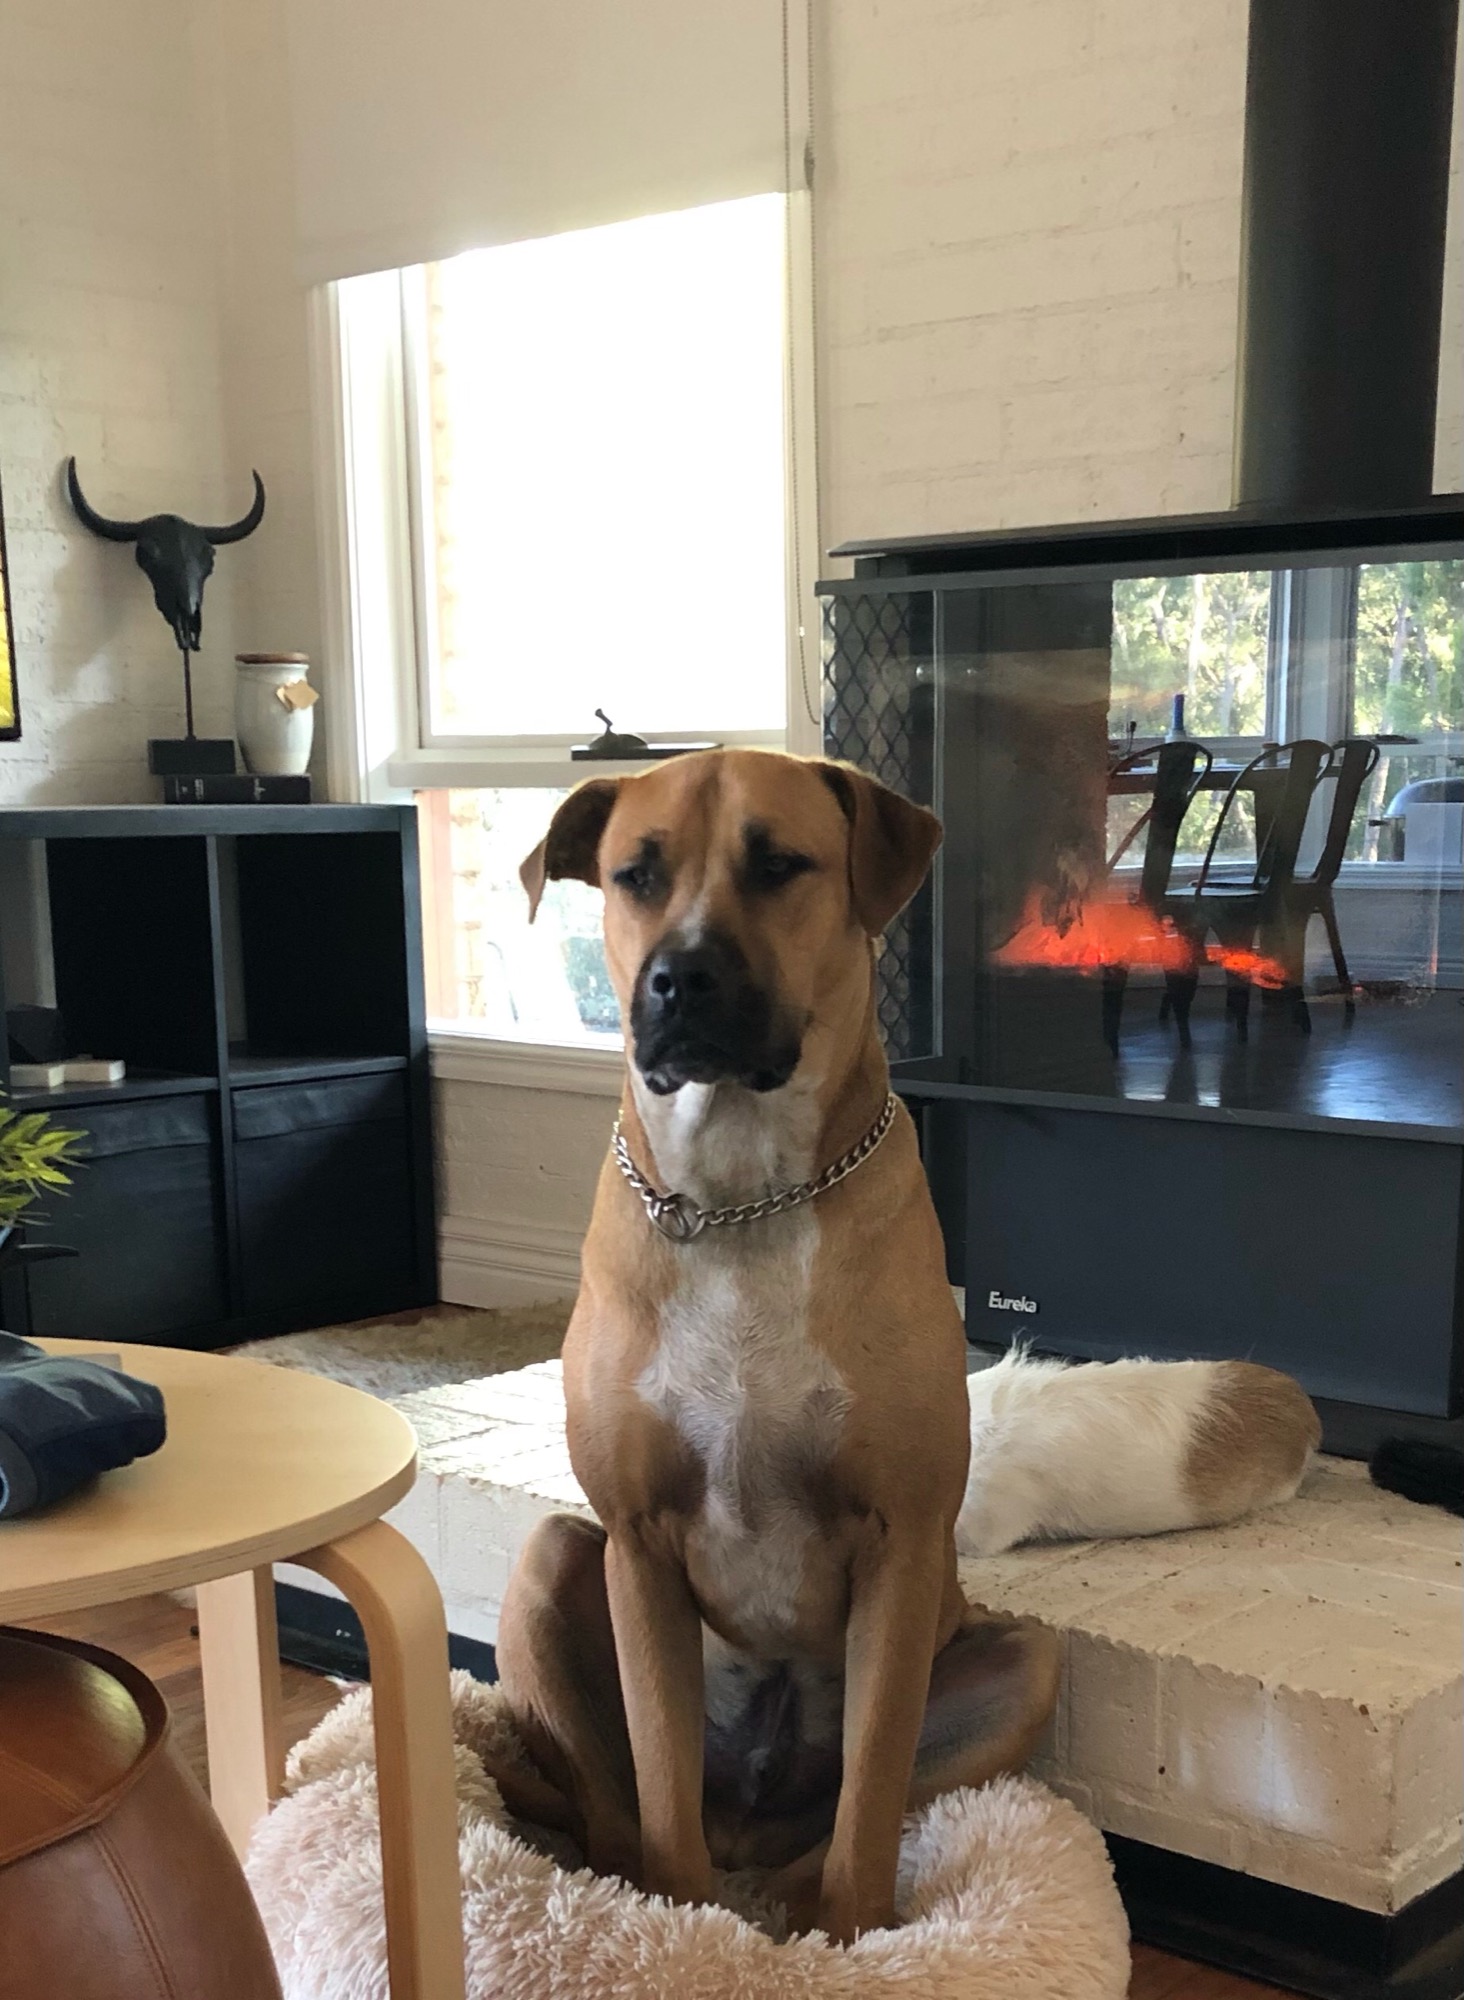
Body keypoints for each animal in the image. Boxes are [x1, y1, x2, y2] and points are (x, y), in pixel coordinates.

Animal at [489, 748, 1319, 1944]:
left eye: (779, 864)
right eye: (633, 874)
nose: (679, 979)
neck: (743, 1198)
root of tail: (749, 1821)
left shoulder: (905, 1543)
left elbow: (874, 1788)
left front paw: (853, 1937)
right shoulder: (637, 1544)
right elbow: (657, 1774)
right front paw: (682, 1932)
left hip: (1019, 1662)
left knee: (831, 1825)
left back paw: (793, 1912)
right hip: (557, 1558)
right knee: (622, 1807)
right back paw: (640, 1889)